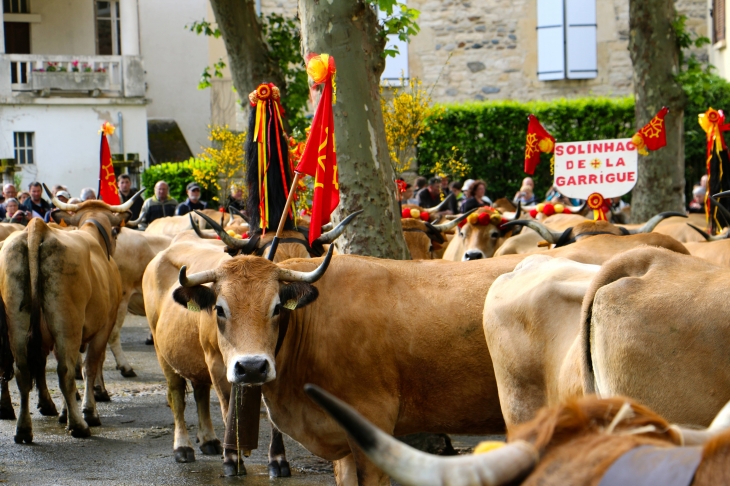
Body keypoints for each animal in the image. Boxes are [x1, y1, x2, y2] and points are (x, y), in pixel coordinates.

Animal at [0, 185, 141, 440]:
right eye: (116, 231)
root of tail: (38, 227)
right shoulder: (103, 326)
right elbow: (89, 366)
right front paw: (89, 410)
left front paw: (66, 411)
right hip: (68, 323)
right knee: (64, 371)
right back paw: (79, 425)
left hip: (18, 323)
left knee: (23, 370)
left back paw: (24, 429)